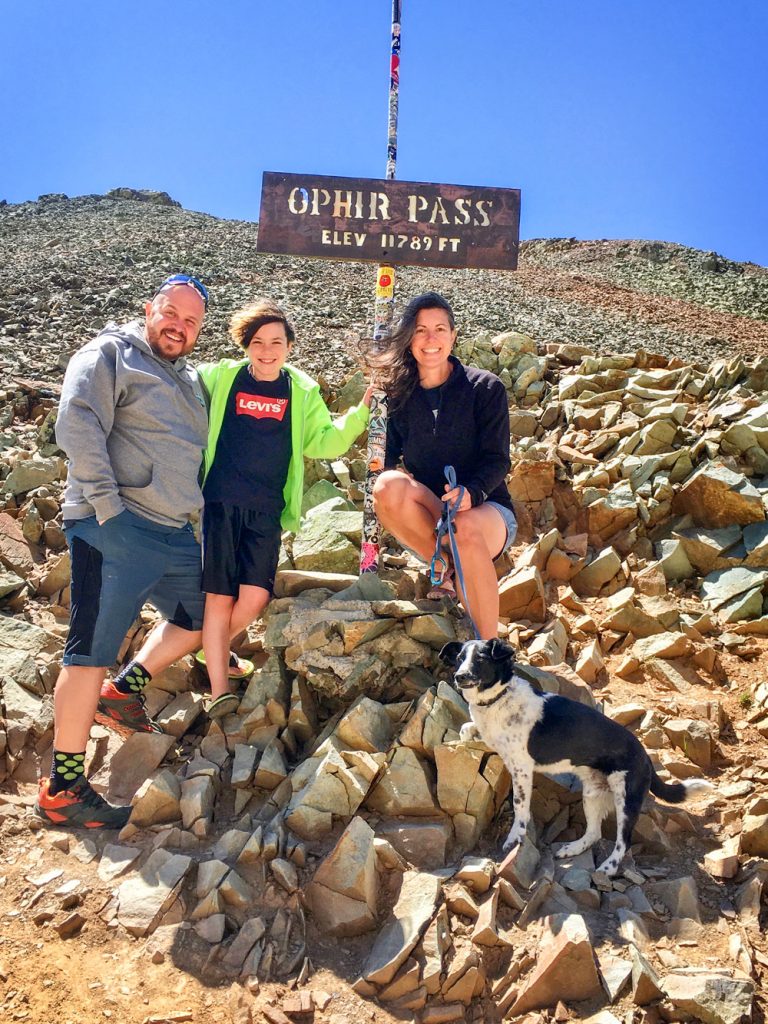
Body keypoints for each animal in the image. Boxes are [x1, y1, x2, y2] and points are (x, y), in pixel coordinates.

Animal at [442, 634, 712, 876]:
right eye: (459, 658)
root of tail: (645, 756)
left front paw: (515, 837)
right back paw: (572, 849)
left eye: (481, 659)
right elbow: (467, 728)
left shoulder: (521, 769)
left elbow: (520, 807)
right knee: (594, 833)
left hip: (626, 799)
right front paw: (464, 738)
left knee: (623, 841)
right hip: (592, 794)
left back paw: (609, 867)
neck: (499, 698)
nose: (459, 676)